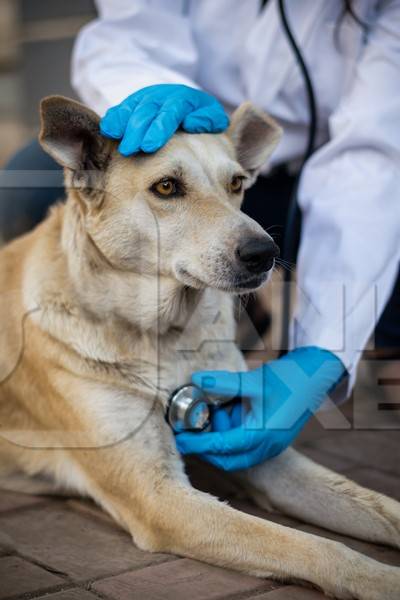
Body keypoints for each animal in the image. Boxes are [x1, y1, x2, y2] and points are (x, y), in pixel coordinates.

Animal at [0, 96, 400, 596]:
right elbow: (314, 546)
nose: (265, 254)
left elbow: (381, 508)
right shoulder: (159, 497)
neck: (168, 337)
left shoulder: (263, 451)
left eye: (237, 183)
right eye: (167, 187)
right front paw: (383, 579)